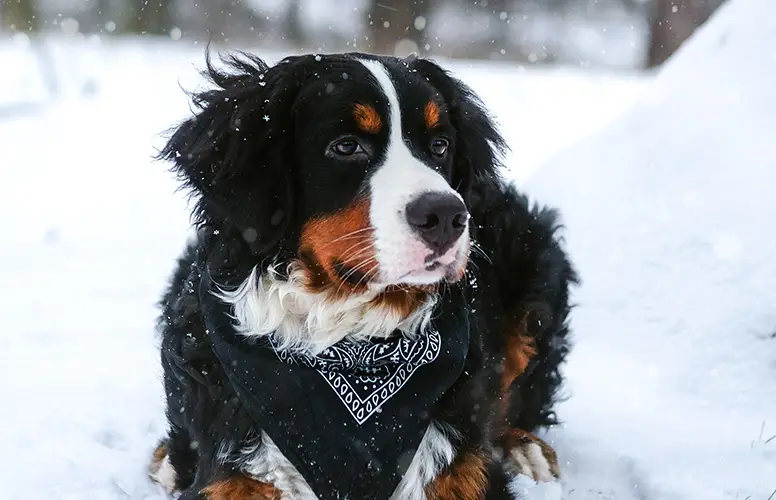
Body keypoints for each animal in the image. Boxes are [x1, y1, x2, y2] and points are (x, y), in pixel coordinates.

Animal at [150, 51, 576, 500]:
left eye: (440, 145)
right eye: (346, 146)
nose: (447, 215)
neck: (350, 339)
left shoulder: (462, 470)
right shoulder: (233, 477)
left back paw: (525, 448)